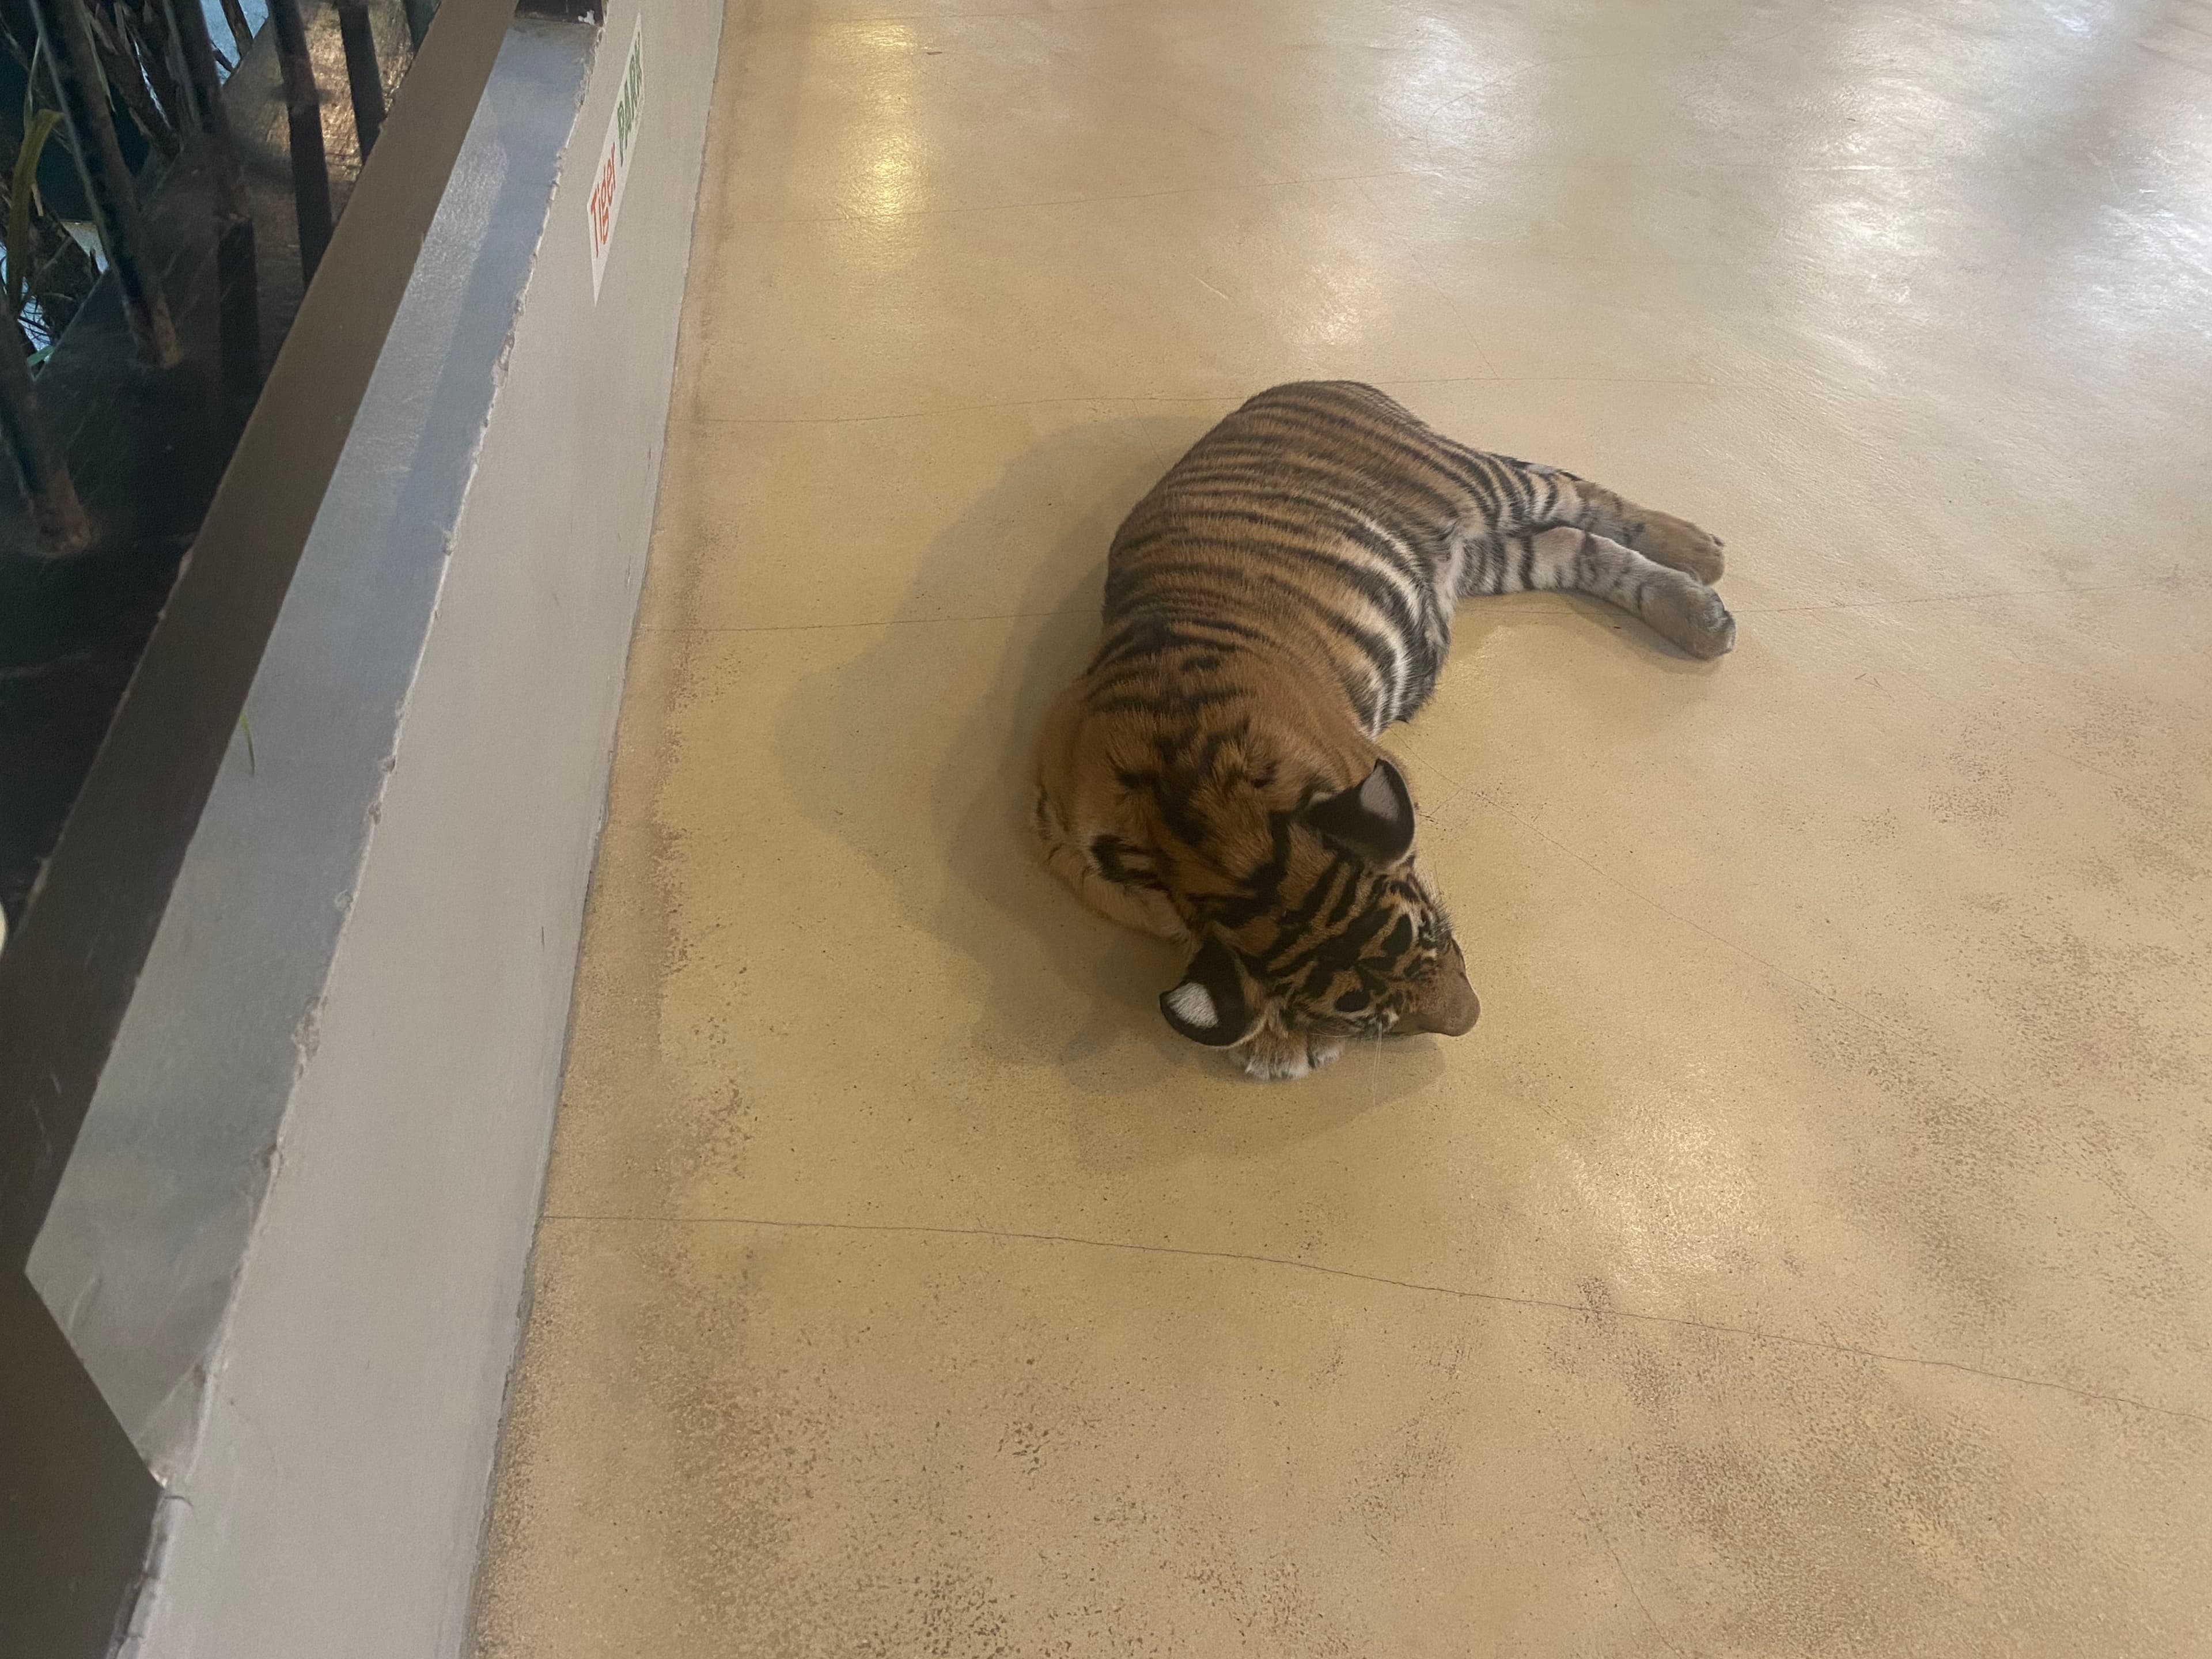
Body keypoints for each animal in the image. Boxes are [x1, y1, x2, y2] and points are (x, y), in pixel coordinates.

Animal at [1033, 380, 1733, 1079]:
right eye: (1368, 1018)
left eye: (1434, 936)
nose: (1471, 1019)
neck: (1192, 809)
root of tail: (1315, 382)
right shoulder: (1060, 839)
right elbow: (1155, 913)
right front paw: (1264, 1022)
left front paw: (1279, 1041)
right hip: (1491, 557)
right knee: (1572, 543)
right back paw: (1702, 615)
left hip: (1483, 484)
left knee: (1577, 492)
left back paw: (1702, 555)